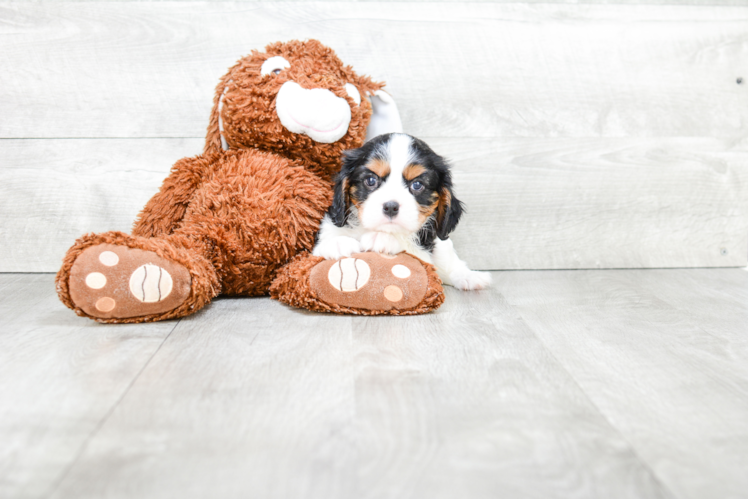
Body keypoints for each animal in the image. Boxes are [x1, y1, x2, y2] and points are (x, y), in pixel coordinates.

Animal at [314, 133, 494, 292]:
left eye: (417, 185)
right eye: (371, 180)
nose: (390, 207)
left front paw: (383, 238)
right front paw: (337, 243)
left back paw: (469, 277)